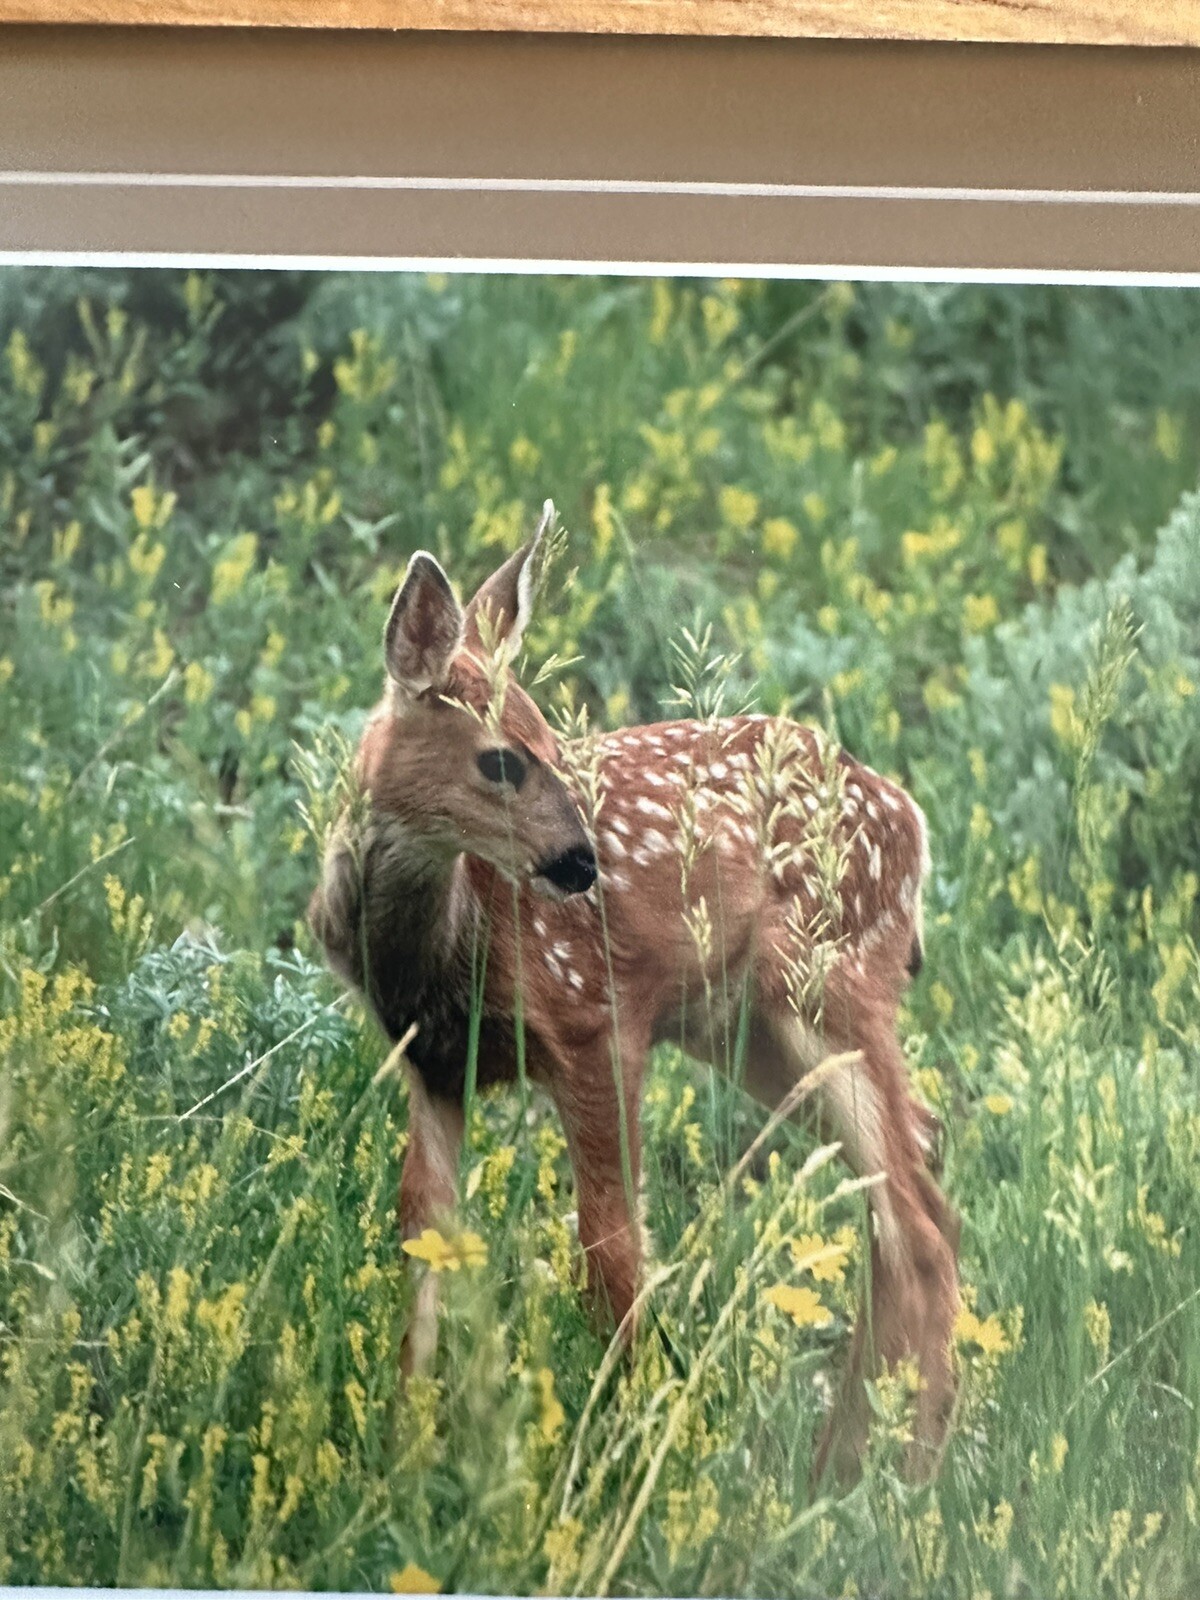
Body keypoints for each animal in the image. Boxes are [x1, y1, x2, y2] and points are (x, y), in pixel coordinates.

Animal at [307, 501, 960, 1483]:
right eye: (501, 761)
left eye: (550, 741)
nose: (580, 864)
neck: (443, 948)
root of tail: (914, 822)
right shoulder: (432, 1061)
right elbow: (424, 1230)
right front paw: (405, 1456)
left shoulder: (594, 1023)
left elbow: (610, 1246)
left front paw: (636, 1440)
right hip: (751, 1034)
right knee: (909, 1176)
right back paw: (844, 1461)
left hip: (829, 986)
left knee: (918, 1221)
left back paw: (902, 1476)